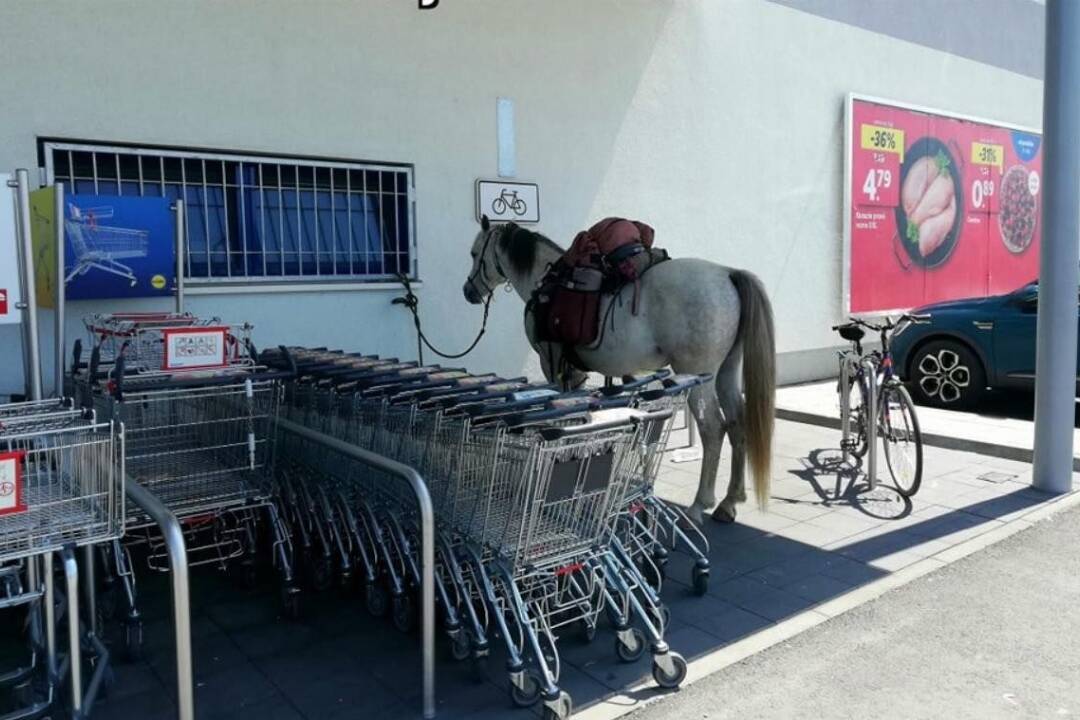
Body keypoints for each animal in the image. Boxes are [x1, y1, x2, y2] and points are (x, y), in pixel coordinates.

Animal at [460, 220, 773, 524]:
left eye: (475, 254)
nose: (468, 292)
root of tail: (727, 274)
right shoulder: (598, 375)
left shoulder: (552, 364)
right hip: (727, 372)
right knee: (737, 425)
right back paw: (729, 502)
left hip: (698, 377)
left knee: (714, 430)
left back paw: (699, 506)